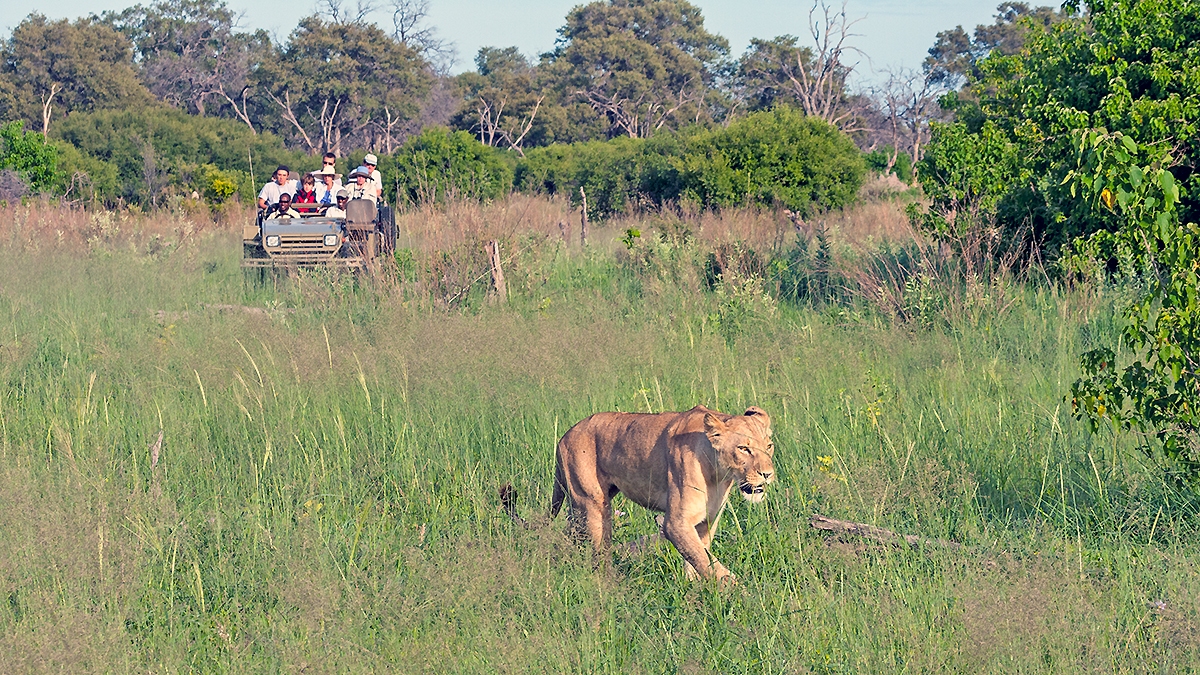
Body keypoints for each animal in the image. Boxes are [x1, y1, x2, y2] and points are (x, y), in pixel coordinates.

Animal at [549, 405, 775, 582]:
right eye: (743, 448)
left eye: (769, 446)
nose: (767, 474)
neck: (718, 473)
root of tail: (566, 434)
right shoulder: (676, 523)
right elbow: (705, 560)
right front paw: (735, 591)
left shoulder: (707, 521)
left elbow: (698, 557)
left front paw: (692, 587)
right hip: (593, 505)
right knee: (599, 552)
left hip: (580, 508)